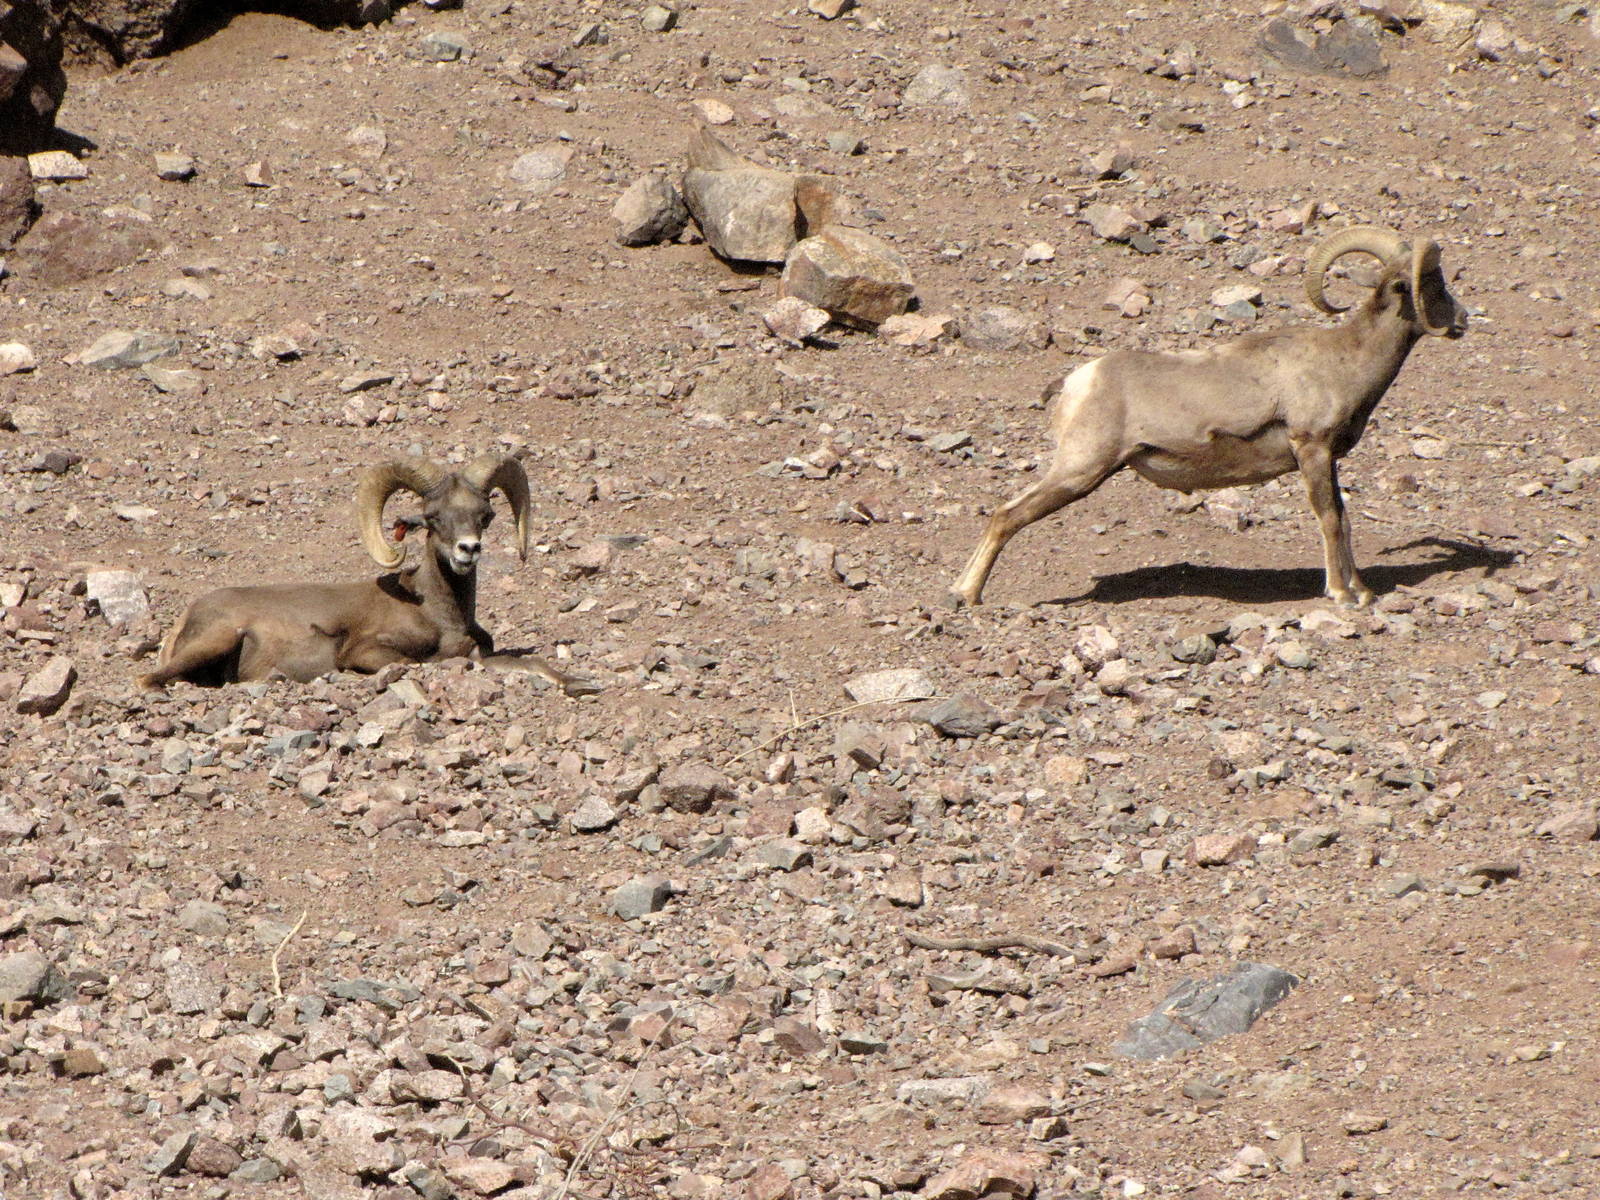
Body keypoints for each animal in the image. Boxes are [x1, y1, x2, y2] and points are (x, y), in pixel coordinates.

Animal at [141, 454, 592, 694]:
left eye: (485, 516)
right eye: (433, 517)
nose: (469, 550)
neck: (438, 613)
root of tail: (187, 616)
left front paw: (579, 682)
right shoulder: (365, 653)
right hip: (218, 638)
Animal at [948, 226, 1468, 610]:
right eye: (1433, 283)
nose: (1463, 320)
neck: (1346, 358)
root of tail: (1077, 382)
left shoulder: (1327, 458)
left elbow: (1343, 515)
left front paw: (1361, 591)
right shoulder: (1312, 450)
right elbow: (1329, 518)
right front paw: (1341, 595)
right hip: (1080, 470)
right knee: (1006, 516)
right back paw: (967, 596)